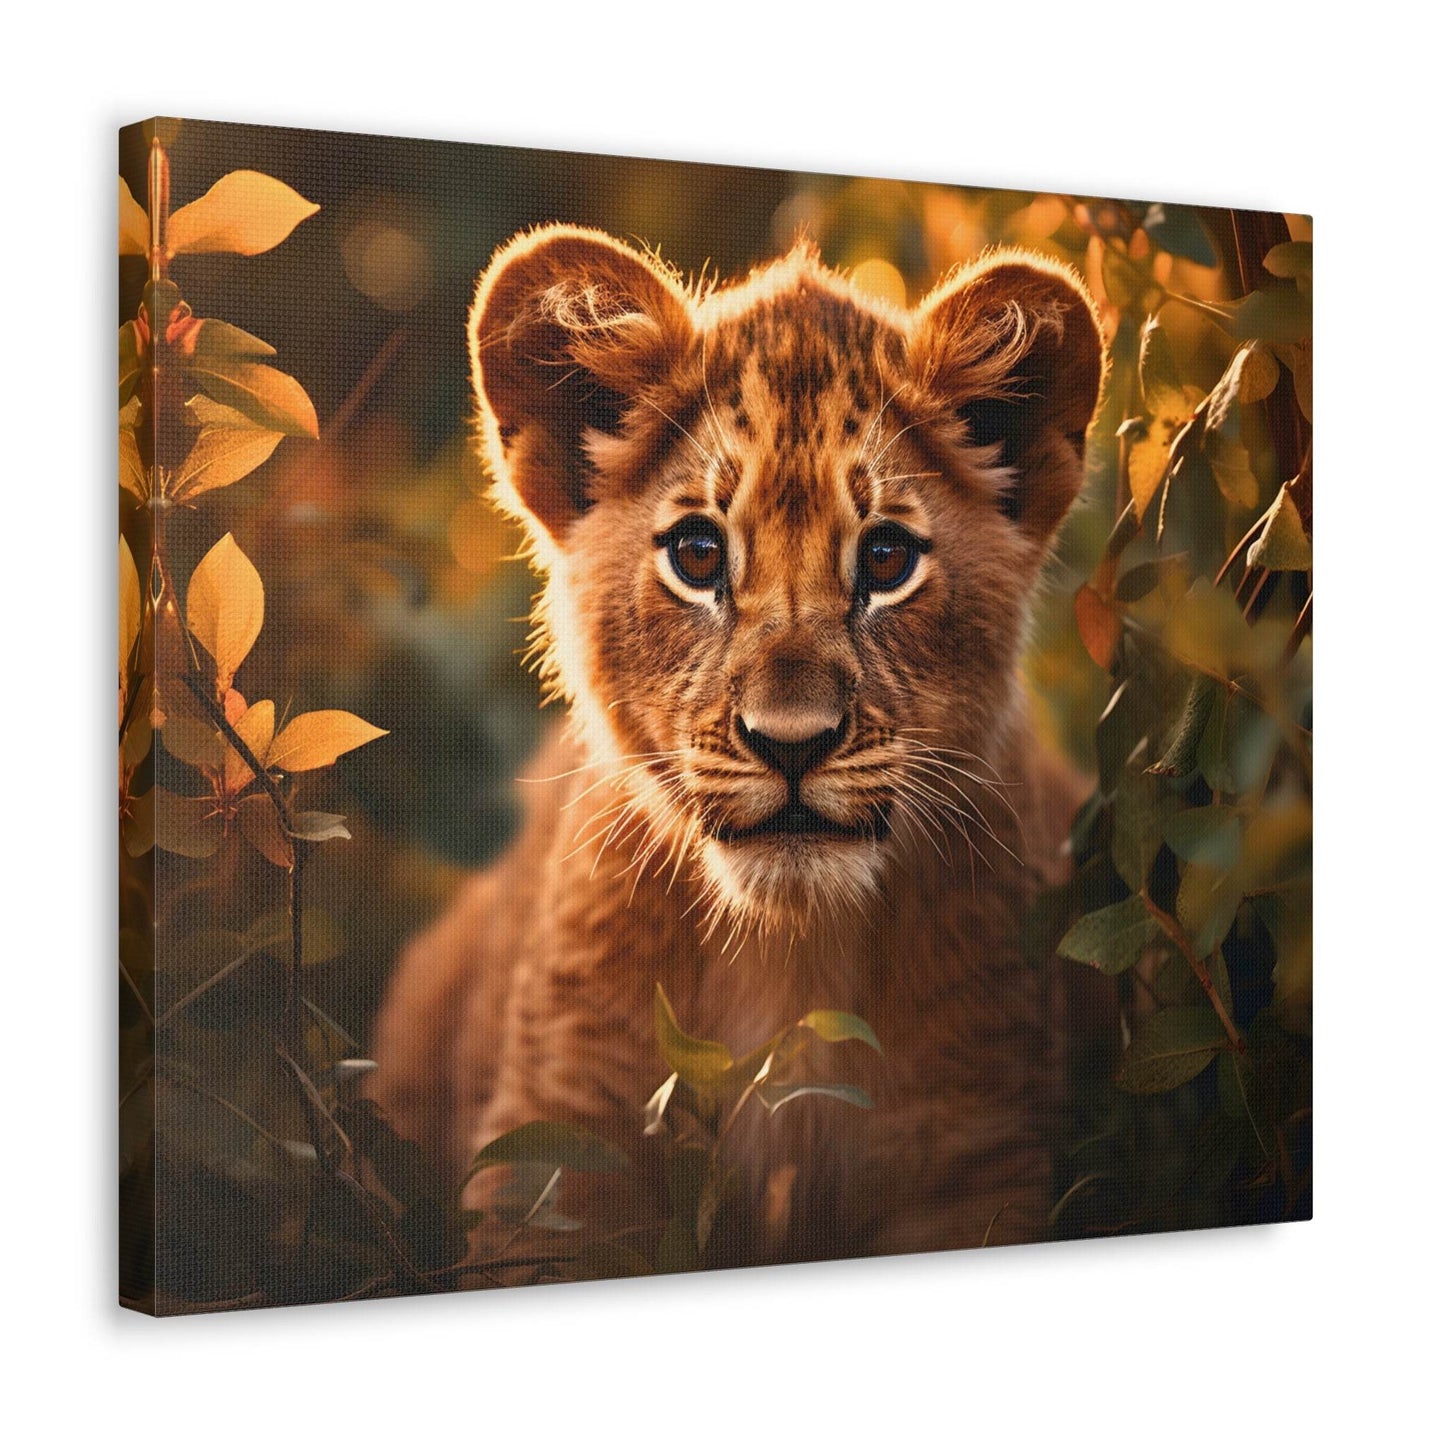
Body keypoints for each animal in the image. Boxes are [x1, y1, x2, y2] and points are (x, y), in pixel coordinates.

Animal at [368, 223, 1110, 1269]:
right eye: (698, 554)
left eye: (886, 558)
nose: (790, 744)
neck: (787, 954)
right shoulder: (556, 1154)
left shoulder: (975, 1158)